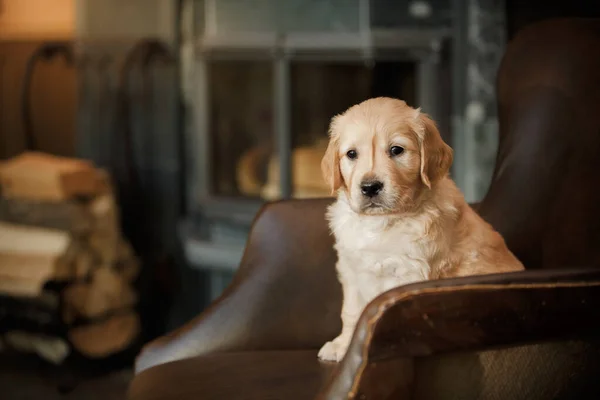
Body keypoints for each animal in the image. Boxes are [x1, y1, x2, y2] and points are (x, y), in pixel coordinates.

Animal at [318, 97, 520, 362]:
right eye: (352, 154)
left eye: (396, 150)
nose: (370, 187)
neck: (382, 222)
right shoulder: (351, 270)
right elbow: (351, 312)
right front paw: (342, 346)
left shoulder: (409, 275)